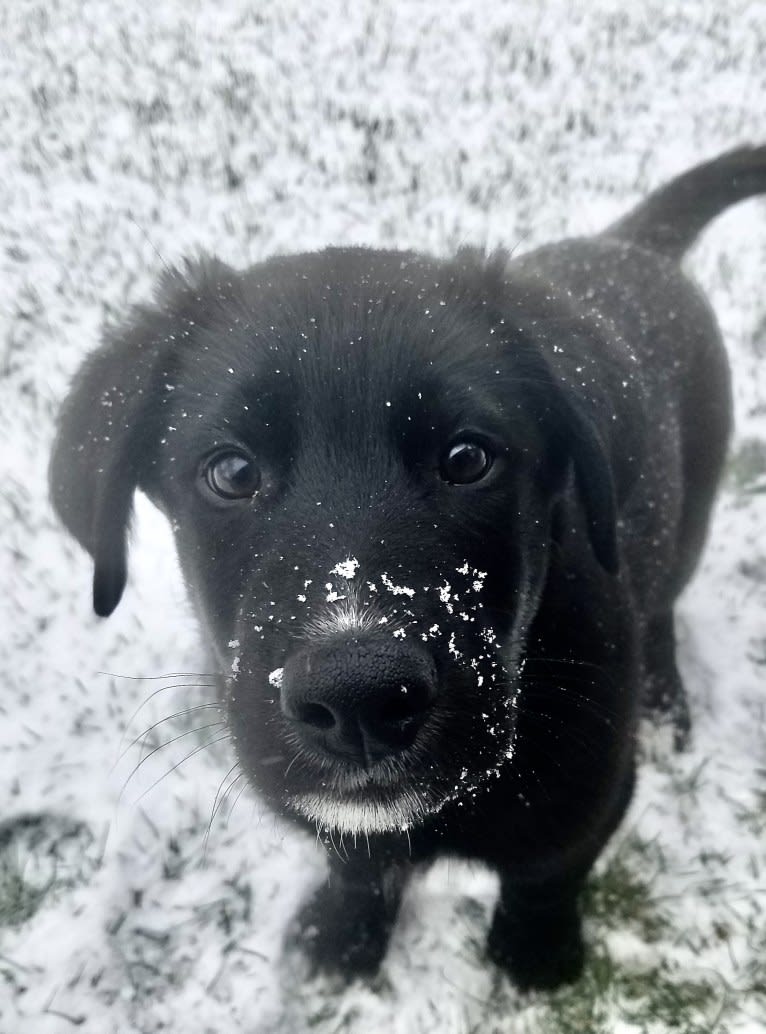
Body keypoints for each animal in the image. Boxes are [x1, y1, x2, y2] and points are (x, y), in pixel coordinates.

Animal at [49, 145, 764, 984]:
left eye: (468, 459)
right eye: (229, 472)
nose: (356, 698)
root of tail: (633, 242)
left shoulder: (592, 794)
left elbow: (546, 874)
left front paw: (534, 954)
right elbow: (359, 864)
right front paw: (343, 937)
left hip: (688, 515)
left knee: (663, 610)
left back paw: (663, 703)